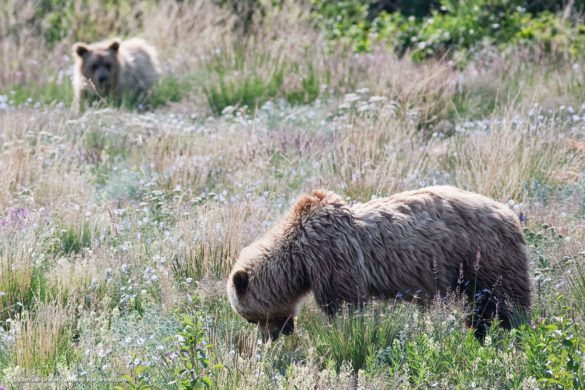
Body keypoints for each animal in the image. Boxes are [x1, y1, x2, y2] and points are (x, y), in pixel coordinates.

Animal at [227, 184, 528, 340]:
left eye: (251, 317)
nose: (275, 336)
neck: (299, 260)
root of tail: (509, 213)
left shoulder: (333, 257)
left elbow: (344, 303)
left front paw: (347, 330)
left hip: (482, 255)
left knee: (503, 300)